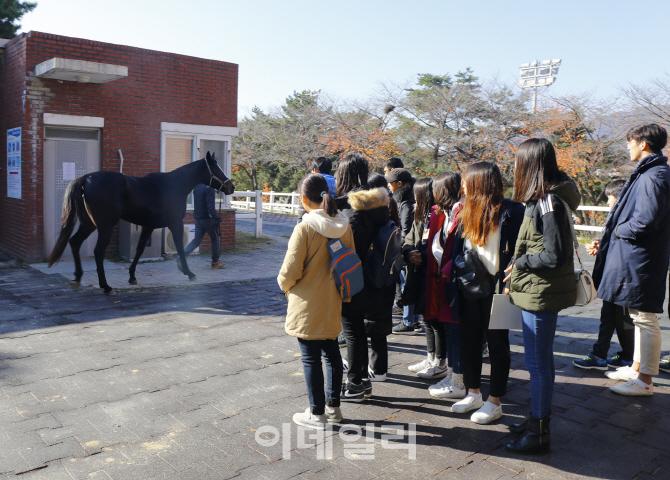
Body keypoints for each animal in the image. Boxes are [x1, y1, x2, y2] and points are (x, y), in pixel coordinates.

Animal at [48, 152, 235, 294]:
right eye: (216, 168)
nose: (231, 187)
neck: (174, 186)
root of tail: (85, 179)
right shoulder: (175, 223)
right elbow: (180, 248)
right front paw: (189, 273)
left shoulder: (148, 226)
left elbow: (139, 250)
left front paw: (132, 276)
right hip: (104, 226)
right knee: (98, 251)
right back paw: (106, 286)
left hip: (89, 224)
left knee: (75, 242)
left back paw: (77, 278)